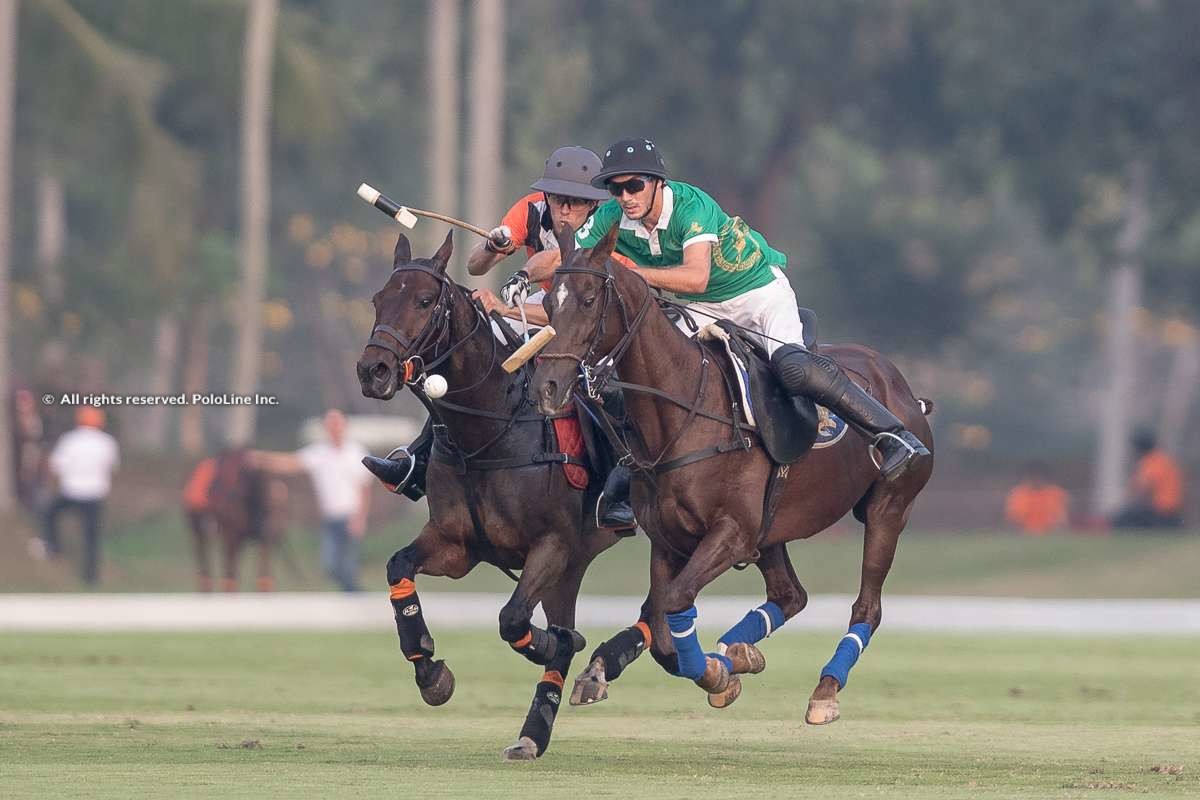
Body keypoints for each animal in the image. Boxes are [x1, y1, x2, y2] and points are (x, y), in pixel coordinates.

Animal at [181, 453, 286, 592]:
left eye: (273, 504)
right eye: (250, 495)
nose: (262, 527)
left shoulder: (263, 541)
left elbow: (264, 578)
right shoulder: (231, 538)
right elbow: (230, 579)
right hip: (200, 535)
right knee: (207, 572)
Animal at [352, 232, 619, 762]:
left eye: (425, 300)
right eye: (377, 299)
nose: (373, 370)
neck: (488, 431)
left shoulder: (552, 544)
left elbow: (512, 618)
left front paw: (559, 643)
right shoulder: (458, 544)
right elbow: (398, 567)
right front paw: (429, 671)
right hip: (575, 564)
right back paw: (534, 732)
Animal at [535, 224, 936, 724]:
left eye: (589, 299)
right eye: (548, 303)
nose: (547, 387)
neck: (684, 413)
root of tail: (901, 385)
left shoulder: (731, 532)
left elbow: (673, 603)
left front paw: (716, 673)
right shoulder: (670, 540)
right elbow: (663, 631)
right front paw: (723, 669)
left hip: (889, 508)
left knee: (867, 606)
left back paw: (824, 690)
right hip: (772, 527)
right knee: (790, 595)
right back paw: (740, 650)